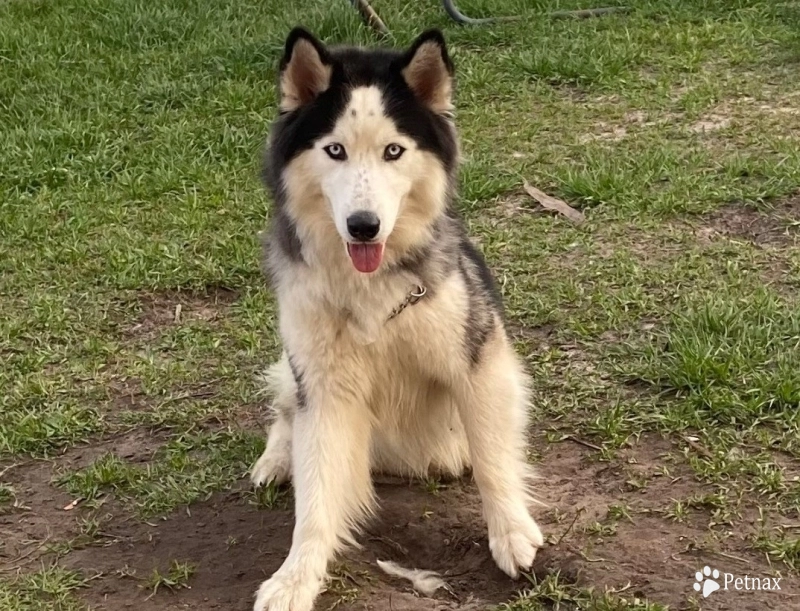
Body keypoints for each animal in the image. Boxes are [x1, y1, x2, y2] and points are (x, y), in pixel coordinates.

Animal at [250, 26, 544, 608]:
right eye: (335, 150)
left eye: (394, 151)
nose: (364, 226)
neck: (371, 288)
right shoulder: (325, 389)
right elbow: (315, 500)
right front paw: (295, 576)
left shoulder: (479, 361)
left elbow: (493, 456)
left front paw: (510, 531)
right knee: (286, 411)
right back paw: (277, 459)